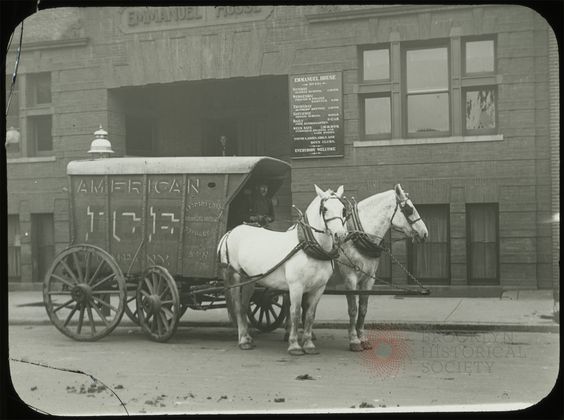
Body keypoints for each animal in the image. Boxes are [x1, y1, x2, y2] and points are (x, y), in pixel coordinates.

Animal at [217, 184, 346, 354]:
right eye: (324, 209)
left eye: (343, 209)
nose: (341, 235)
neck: (308, 246)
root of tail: (230, 232)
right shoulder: (296, 286)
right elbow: (295, 312)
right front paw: (294, 345)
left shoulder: (319, 287)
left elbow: (310, 315)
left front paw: (309, 344)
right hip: (235, 276)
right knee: (238, 306)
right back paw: (243, 340)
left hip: (249, 278)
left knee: (244, 306)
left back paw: (247, 338)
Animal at [340, 184, 428, 352]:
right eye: (409, 209)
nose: (424, 233)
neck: (354, 237)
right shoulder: (349, 278)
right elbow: (353, 309)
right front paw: (354, 340)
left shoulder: (368, 279)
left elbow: (363, 308)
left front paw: (363, 338)